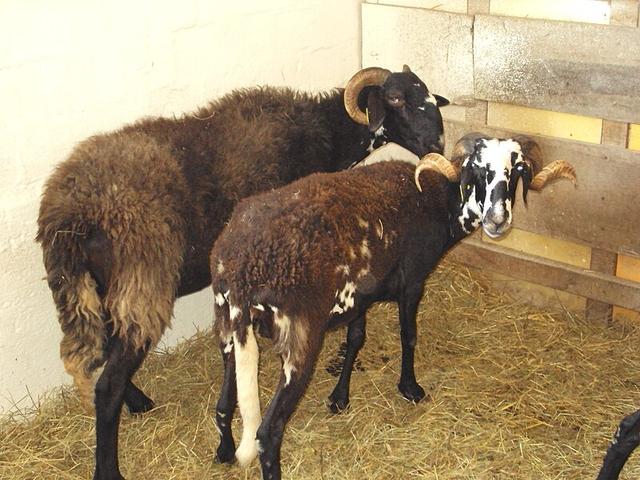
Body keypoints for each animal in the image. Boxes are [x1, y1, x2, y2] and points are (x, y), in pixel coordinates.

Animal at [36, 65, 449, 480]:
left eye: (429, 95)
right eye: (395, 98)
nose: (439, 142)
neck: (323, 133)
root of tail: (68, 216)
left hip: (99, 288)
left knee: (109, 351)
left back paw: (136, 401)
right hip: (142, 283)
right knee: (108, 385)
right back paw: (110, 466)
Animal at [210, 133, 577, 479]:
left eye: (518, 170)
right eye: (475, 169)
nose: (497, 220)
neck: (438, 201)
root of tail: (243, 270)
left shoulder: (359, 297)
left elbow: (356, 339)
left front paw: (339, 398)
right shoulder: (413, 280)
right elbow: (408, 336)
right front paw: (410, 388)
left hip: (226, 324)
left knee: (224, 403)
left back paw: (224, 451)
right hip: (299, 338)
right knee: (267, 432)